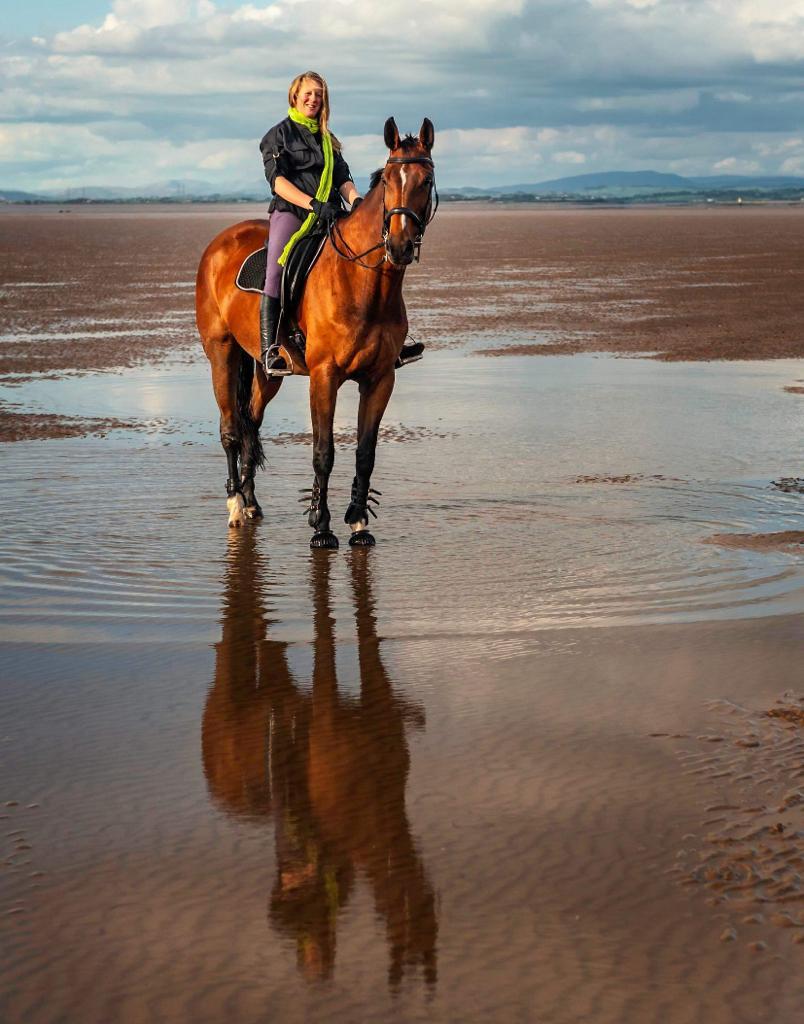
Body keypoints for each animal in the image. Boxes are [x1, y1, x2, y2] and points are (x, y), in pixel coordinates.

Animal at [195, 116, 436, 548]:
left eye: (425, 180)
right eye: (388, 179)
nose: (400, 245)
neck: (364, 283)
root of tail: (220, 243)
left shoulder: (380, 378)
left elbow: (365, 453)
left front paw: (359, 522)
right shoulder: (324, 376)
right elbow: (324, 452)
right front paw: (320, 526)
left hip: (265, 369)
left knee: (251, 423)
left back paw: (252, 502)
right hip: (221, 352)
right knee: (231, 431)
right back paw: (236, 505)